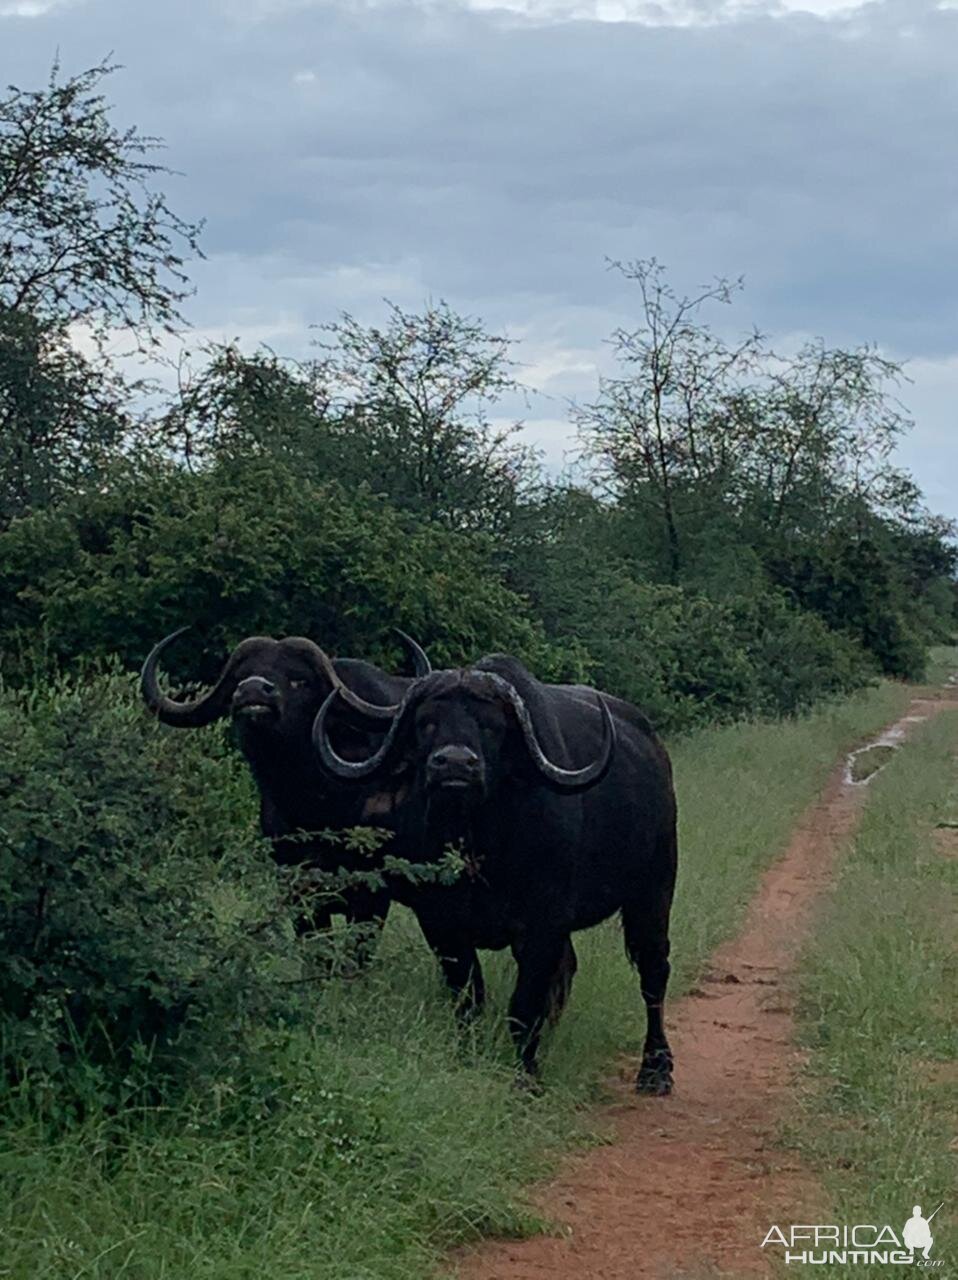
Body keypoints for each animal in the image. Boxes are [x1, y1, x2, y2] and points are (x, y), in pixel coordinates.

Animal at [139, 627, 430, 936]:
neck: (311, 802)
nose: (252, 689)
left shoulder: (371, 894)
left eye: (299, 680)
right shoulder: (295, 887)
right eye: (241, 678)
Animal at [311, 660, 676, 1090]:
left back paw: (656, 1069)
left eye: (491, 726)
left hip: (654, 891)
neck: (483, 843)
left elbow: (524, 1006)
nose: (455, 764)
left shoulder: (542, 926)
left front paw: (526, 1076)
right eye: (427, 722)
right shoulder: (441, 926)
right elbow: (468, 997)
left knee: (653, 972)